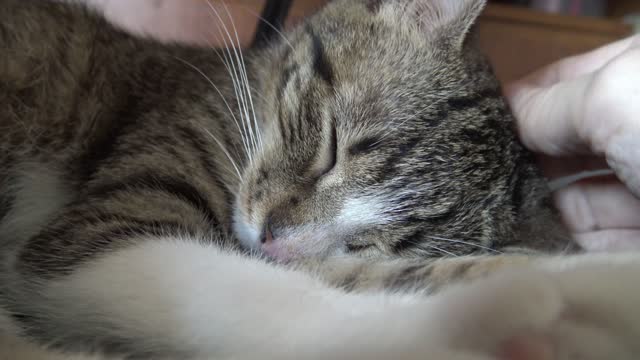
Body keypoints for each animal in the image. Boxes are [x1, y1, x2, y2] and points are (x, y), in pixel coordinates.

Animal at [1, 0, 640, 358]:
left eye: (369, 241)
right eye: (331, 148)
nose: (270, 235)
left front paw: (596, 287)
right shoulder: (97, 233)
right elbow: (257, 297)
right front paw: (478, 321)